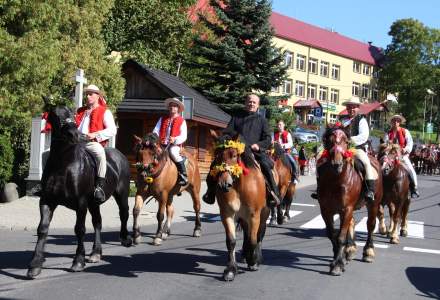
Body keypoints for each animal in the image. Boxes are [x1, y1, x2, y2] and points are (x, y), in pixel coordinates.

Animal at [27, 105, 132, 278]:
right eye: (55, 115)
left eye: (72, 114)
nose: (74, 134)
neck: (63, 164)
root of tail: (120, 155)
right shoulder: (47, 201)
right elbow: (42, 229)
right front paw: (35, 265)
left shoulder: (81, 203)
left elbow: (80, 229)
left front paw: (78, 261)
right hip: (94, 204)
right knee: (97, 222)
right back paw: (96, 253)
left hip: (121, 194)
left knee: (124, 213)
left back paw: (125, 239)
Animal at [209, 131, 268, 282]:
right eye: (216, 155)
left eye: (234, 155)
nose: (224, 184)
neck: (238, 186)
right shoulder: (227, 214)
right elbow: (231, 241)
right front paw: (230, 270)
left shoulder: (254, 215)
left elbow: (254, 238)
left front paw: (253, 261)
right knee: (248, 233)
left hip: (264, 213)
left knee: (259, 234)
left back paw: (255, 256)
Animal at [318, 127, 384, 276]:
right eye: (329, 140)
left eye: (346, 141)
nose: (337, 164)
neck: (335, 180)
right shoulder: (326, 210)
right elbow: (332, 235)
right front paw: (338, 258)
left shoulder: (346, 209)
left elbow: (340, 237)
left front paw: (337, 264)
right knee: (351, 224)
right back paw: (350, 250)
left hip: (373, 204)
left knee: (370, 225)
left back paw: (368, 252)